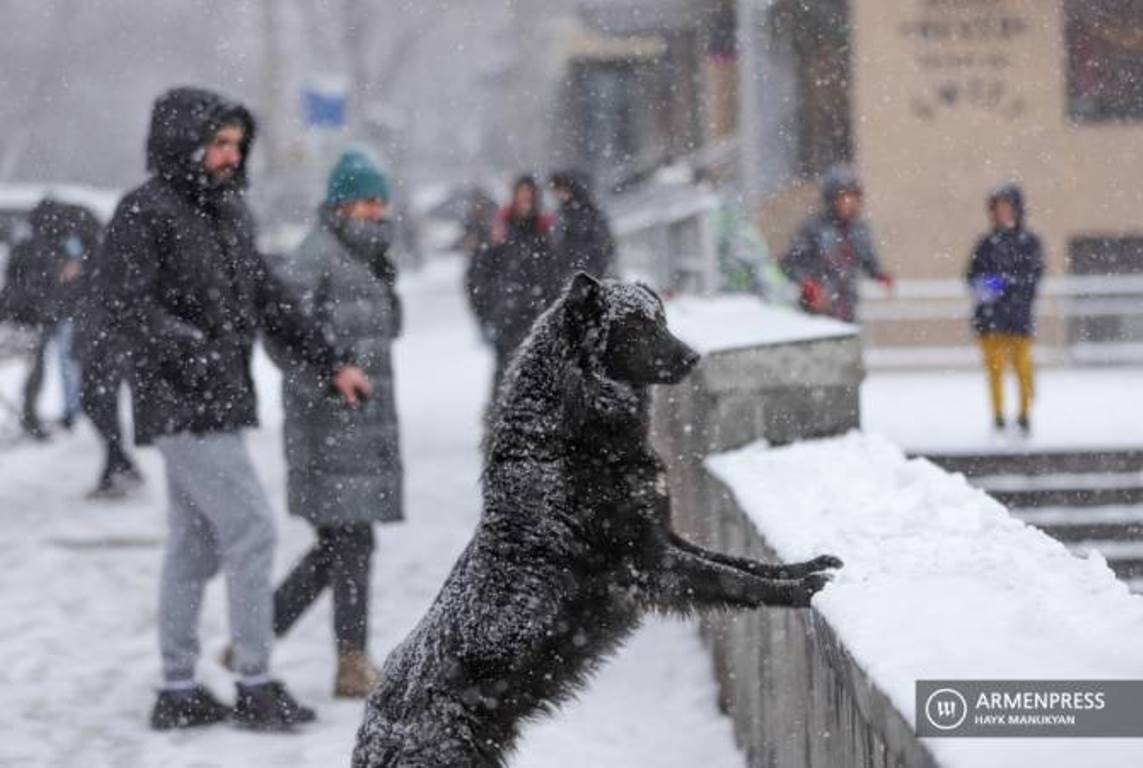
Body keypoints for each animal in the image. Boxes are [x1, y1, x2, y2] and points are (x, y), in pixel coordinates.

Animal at [352, 273, 845, 763]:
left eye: (662, 320)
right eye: (636, 328)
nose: (692, 357)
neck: (567, 445)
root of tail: (371, 727)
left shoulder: (664, 538)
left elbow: (743, 563)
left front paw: (805, 567)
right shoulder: (646, 565)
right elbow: (734, 580)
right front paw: (801, 590)